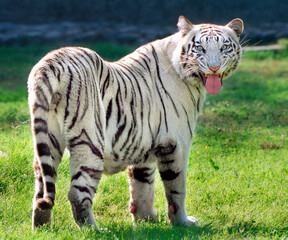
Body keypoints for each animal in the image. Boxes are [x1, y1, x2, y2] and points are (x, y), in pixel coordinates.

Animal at [28, 15, 243, 230]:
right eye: (200, 48)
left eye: (224, 47)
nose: (214, 67)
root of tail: (51, 63)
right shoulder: (177, 144)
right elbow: (177, 189)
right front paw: (183, 223)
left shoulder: (144, 144)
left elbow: (142, 186)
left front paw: (146, 220)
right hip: (89, 141)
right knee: (77, 192)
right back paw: (94, 229)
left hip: (48, 140)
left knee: (41, 188)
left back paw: (42, 227)